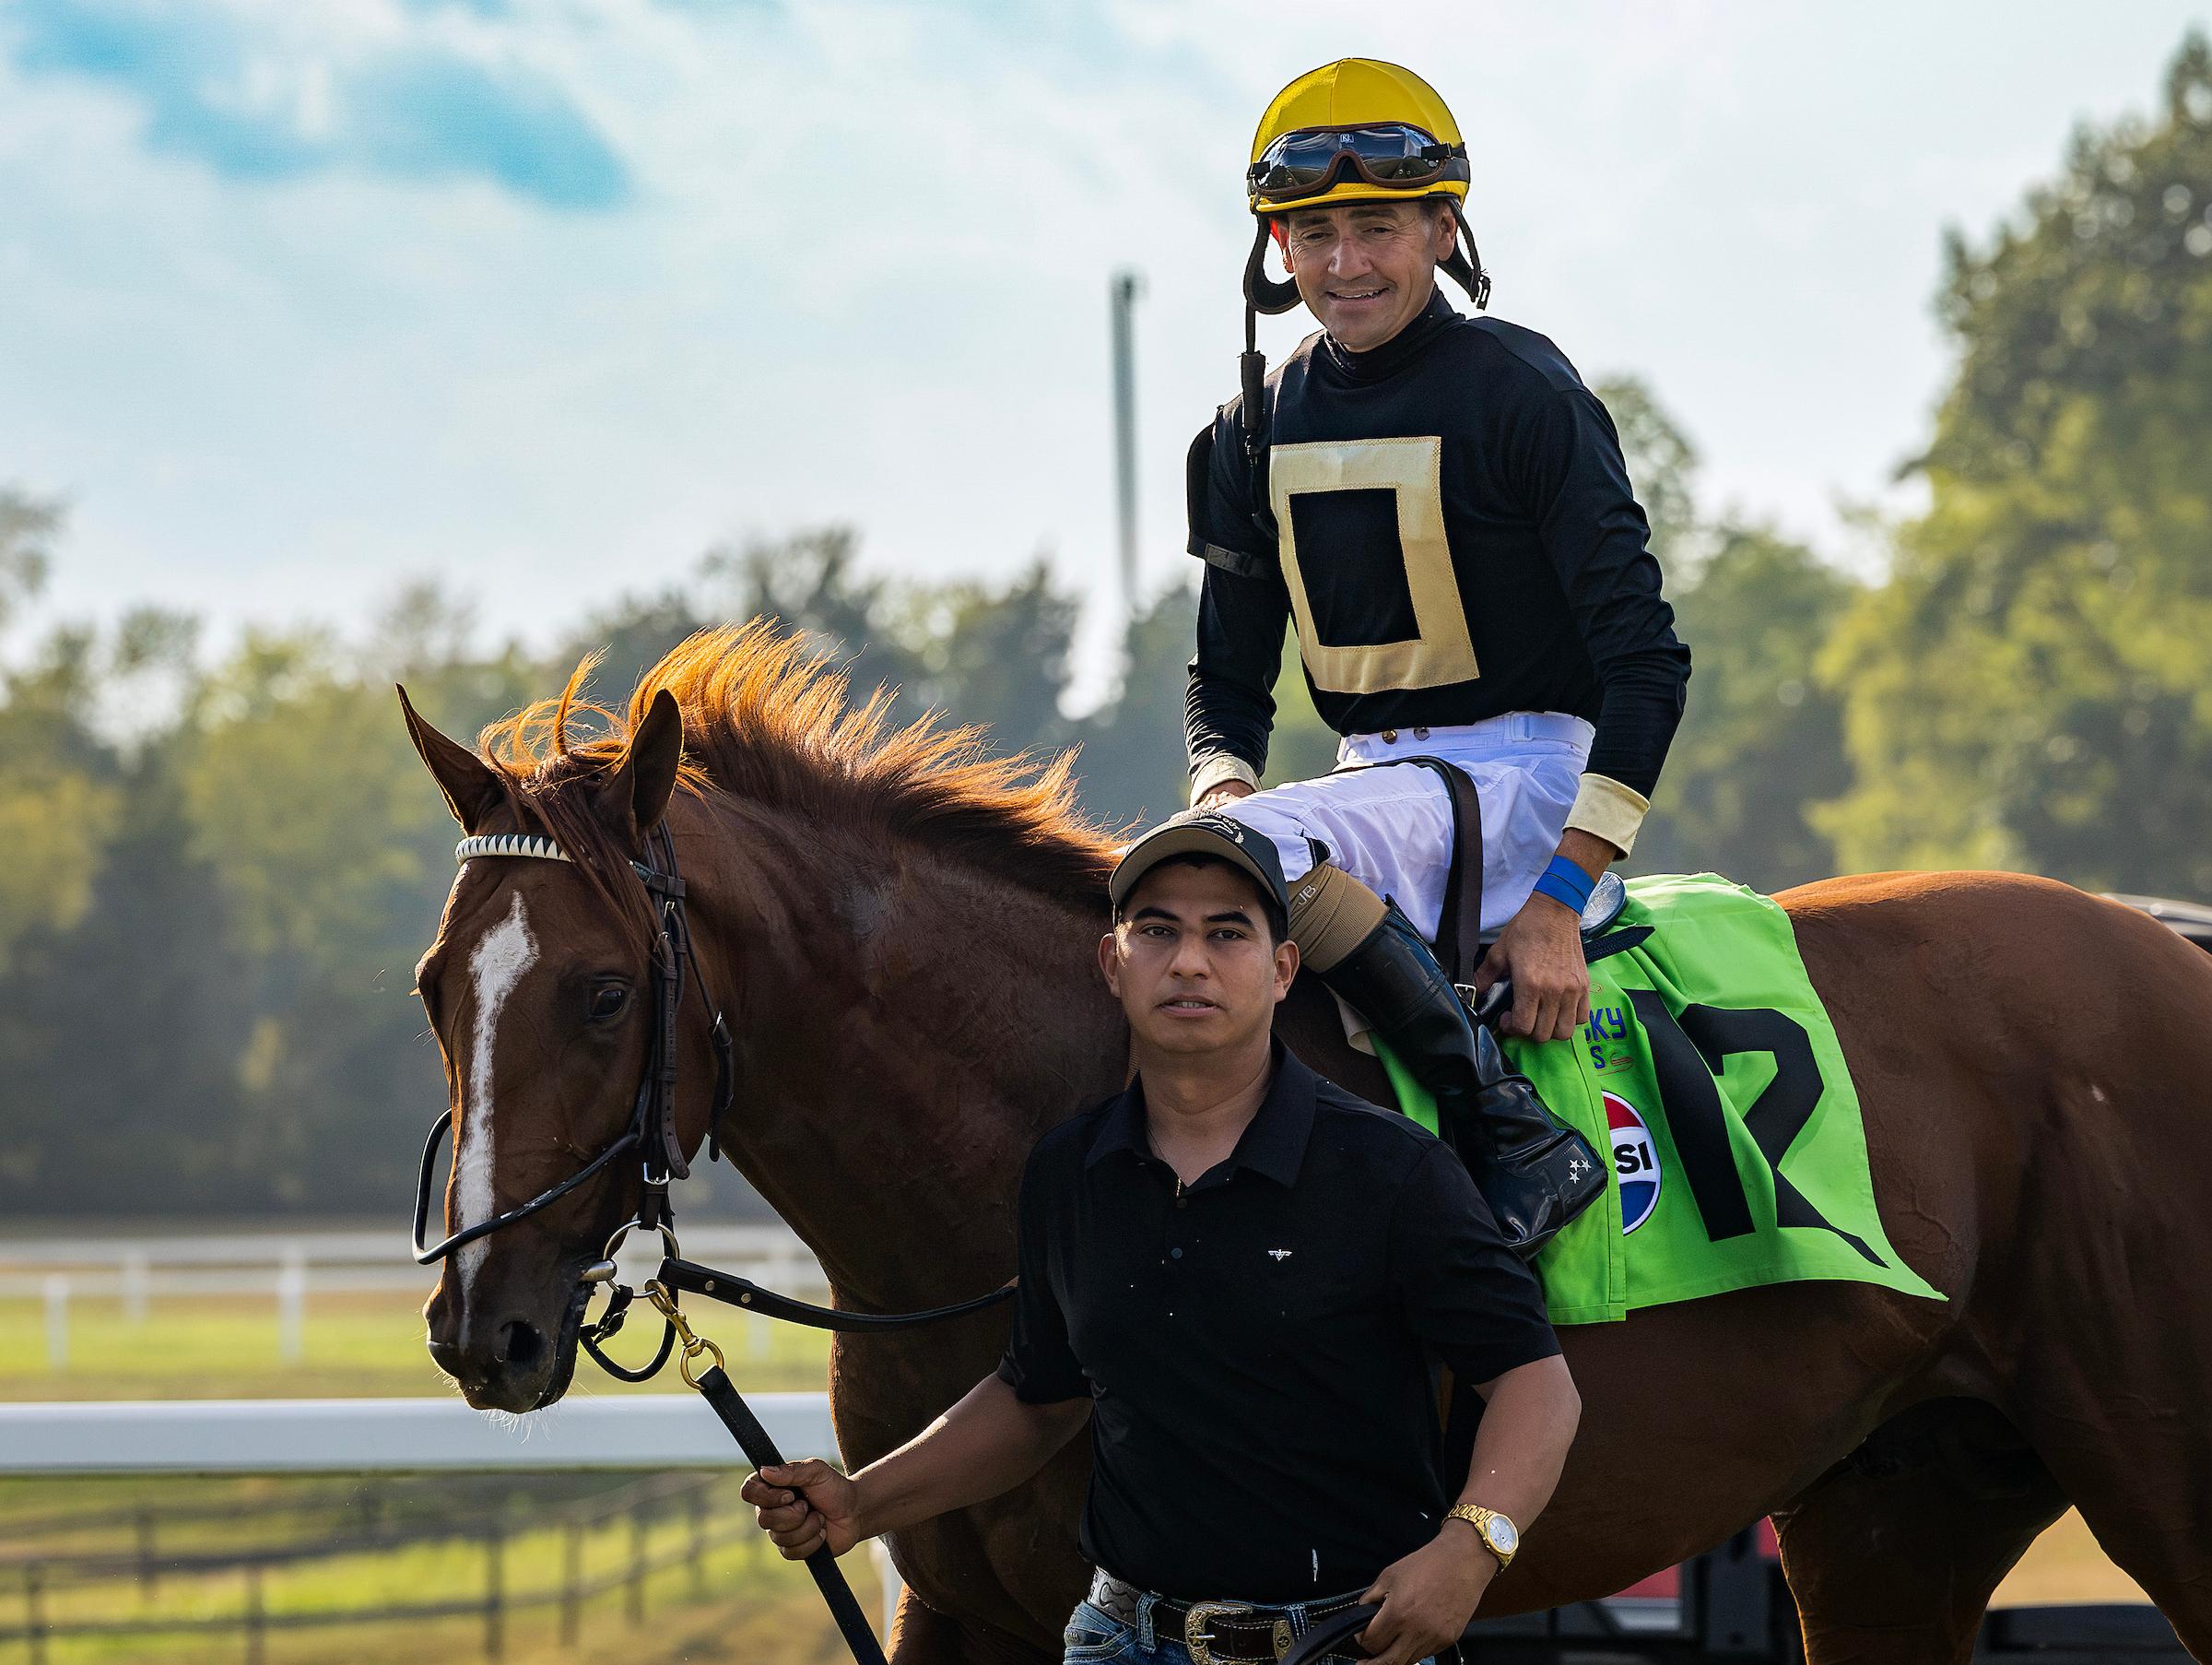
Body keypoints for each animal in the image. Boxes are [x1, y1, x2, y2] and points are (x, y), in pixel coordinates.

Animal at [405, 623, 2212, 1665]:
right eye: (435, 986)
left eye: (599, 993)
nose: (483, 1327)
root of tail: (2168, 948)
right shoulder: (962, 1602)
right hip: (1900, 1510)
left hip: (2150, 1467)